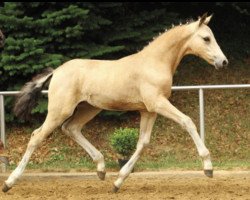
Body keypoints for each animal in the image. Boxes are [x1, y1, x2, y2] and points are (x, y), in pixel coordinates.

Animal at [2, 13, 229, 193]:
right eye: (206, 38)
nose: (223, 62)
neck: (154, 62)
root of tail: (57, 71)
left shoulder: (148, 110)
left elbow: (143, 142)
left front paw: (118, 182)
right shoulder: (158, 103)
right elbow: (187, 121)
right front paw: (208, 167)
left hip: (89, 108)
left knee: (71, 128)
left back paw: (101, 169)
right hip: (60, 110)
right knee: (36, 136)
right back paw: (9, 182)